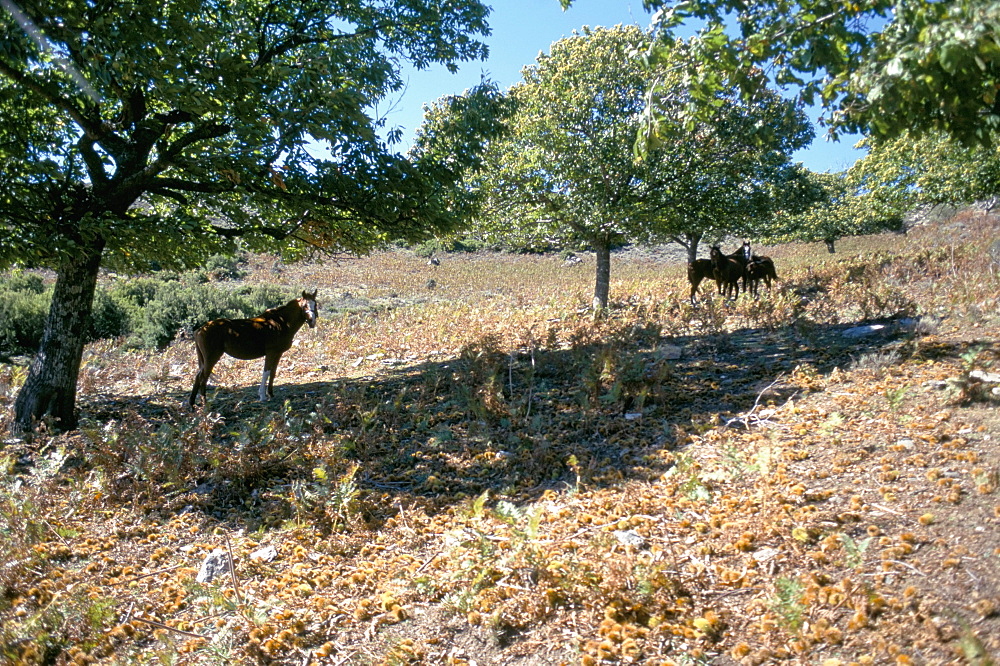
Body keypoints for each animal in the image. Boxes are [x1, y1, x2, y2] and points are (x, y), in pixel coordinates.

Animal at [189, 290, 318, 408]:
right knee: (203, 377)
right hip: (211, 358)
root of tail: (200, 329)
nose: (312, 322)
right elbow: (266, 372)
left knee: (198, 376)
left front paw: (271, 394)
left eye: (315, 304)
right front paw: (262, 396)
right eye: (304, 305)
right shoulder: (271, 353)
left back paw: (192, 404)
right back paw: (204, 403)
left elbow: (273, 373)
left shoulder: (278, 353)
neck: (280, 322)